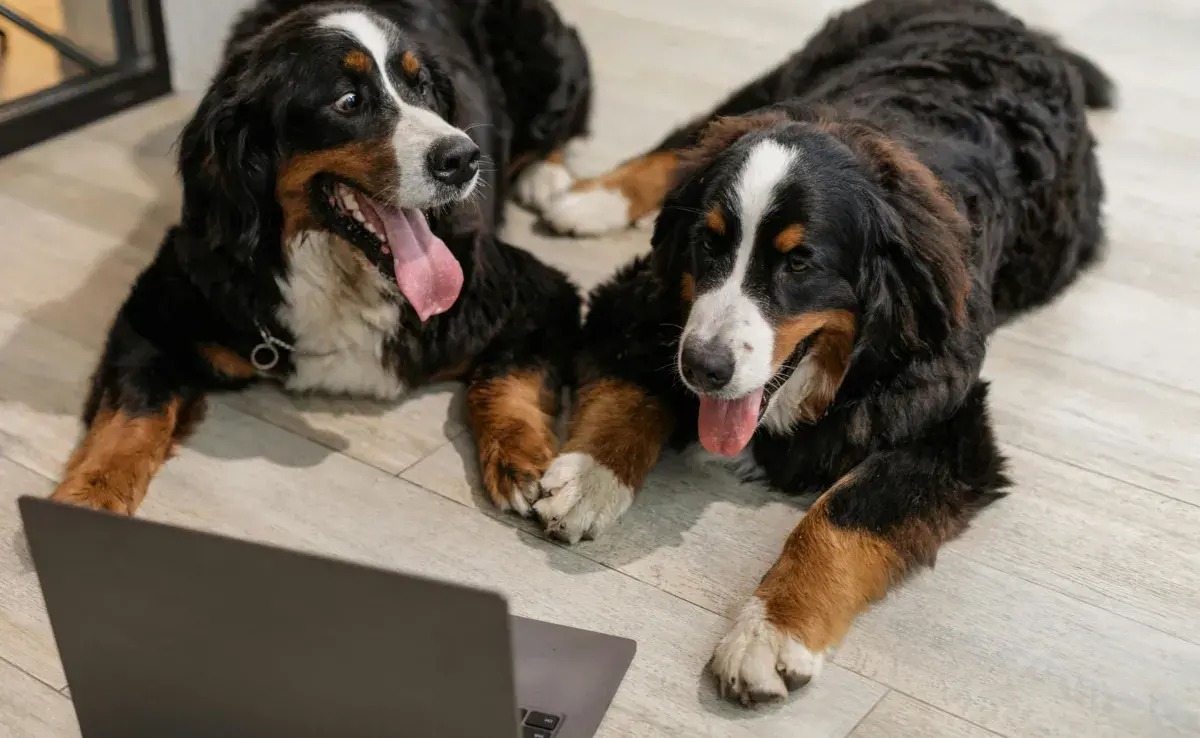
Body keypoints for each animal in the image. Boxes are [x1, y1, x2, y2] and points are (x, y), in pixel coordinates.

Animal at [49, 1, 592, 520]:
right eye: (348, 101)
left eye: (423, 88)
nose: (464, 157)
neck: (342, 272)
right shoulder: (154, 315)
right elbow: (130, 417)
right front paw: (87, 497)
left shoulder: (535, 293)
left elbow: (505, 380)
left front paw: (521, 459)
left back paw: (548, 179)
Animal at [525, 0, 1113, 705]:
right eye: (707, 243)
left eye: (799, 262)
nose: (703, 369)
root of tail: (1014, 23)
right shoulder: (638, 302)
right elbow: (631, 391)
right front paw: (590, 478)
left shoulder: (950, 430)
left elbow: (844, 514)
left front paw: (771, 632)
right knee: (683, 144)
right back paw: (587, 198)